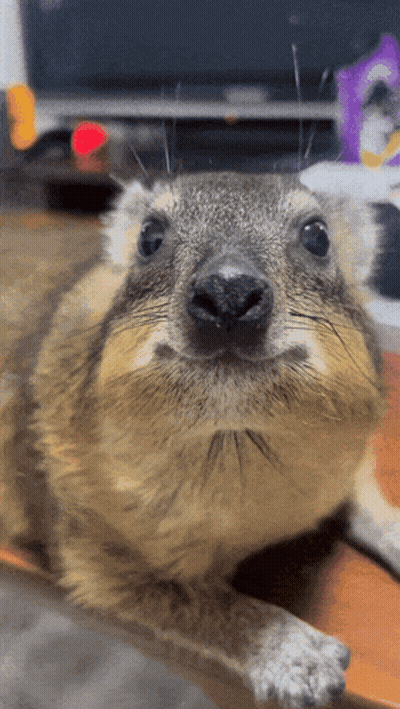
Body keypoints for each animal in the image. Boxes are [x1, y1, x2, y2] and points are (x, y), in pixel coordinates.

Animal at [1, 171, 399, 708]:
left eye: (317, 235)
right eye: (150, 237)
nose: (228, 291)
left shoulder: (348, 461)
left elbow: (374, 506)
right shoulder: (84, 551)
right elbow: (195, 600)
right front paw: (301, 655)